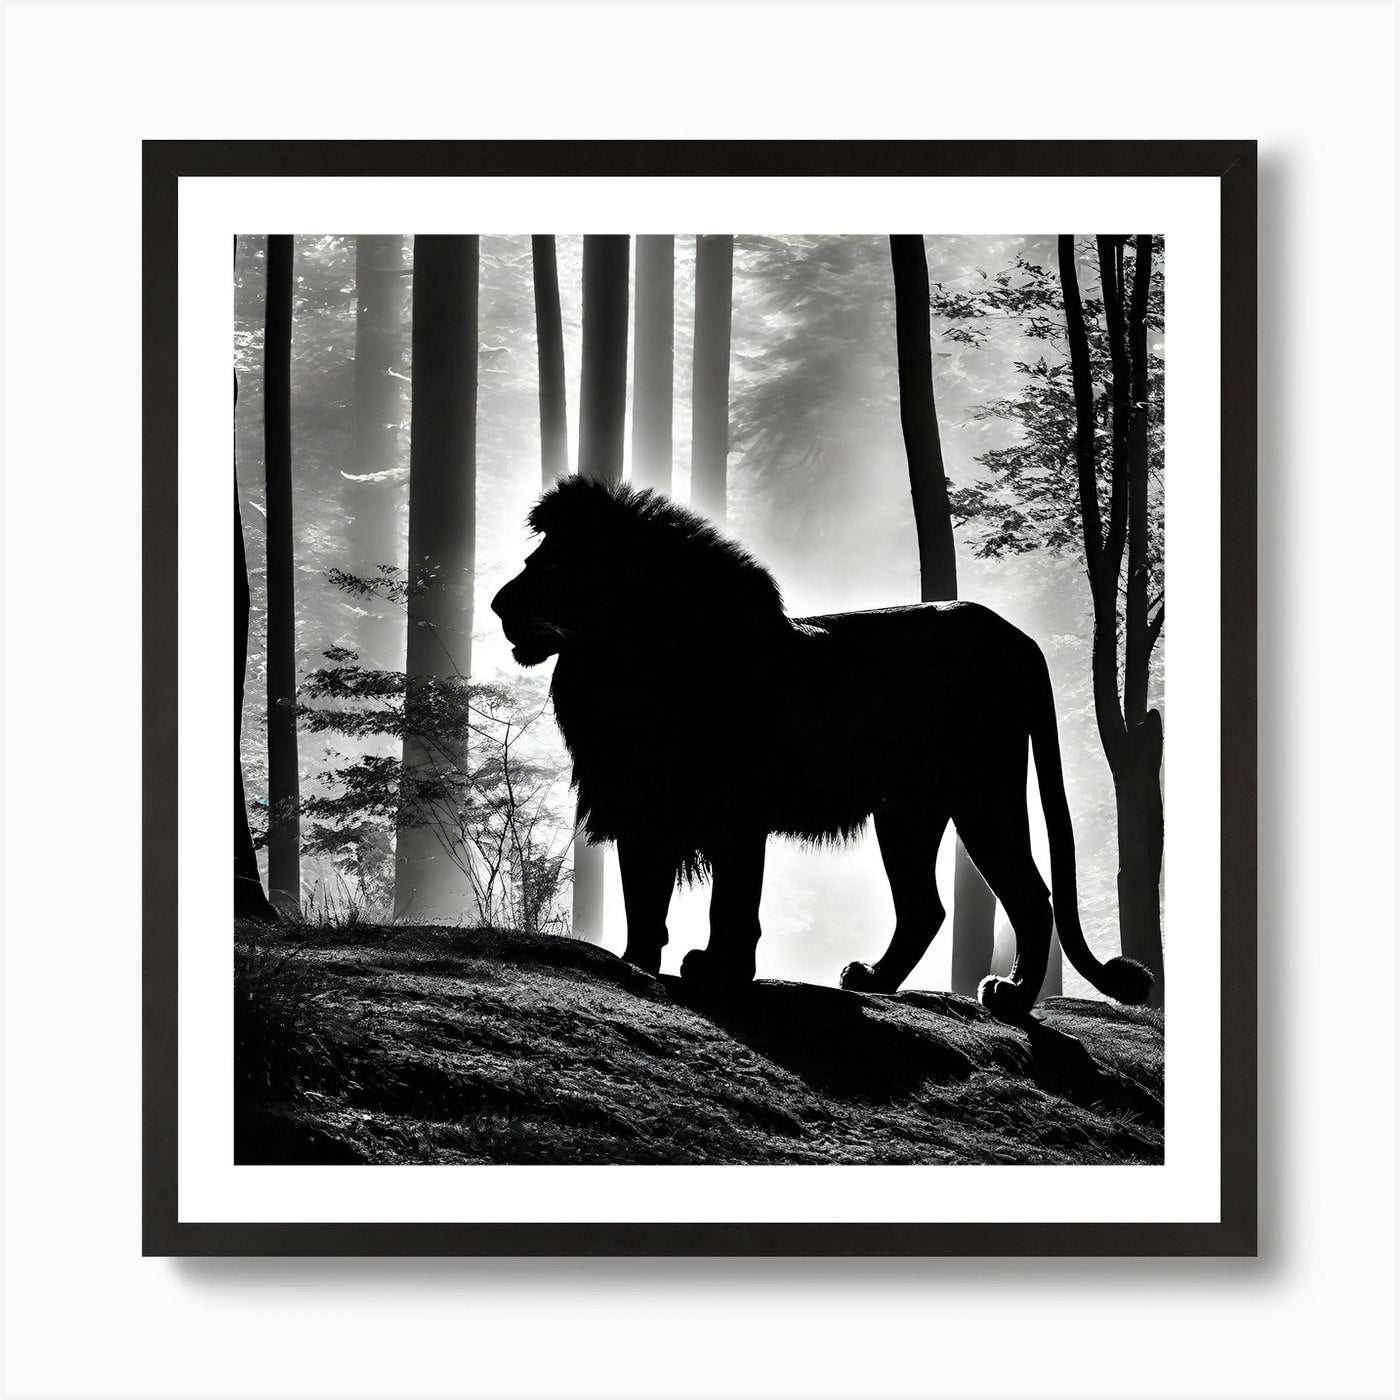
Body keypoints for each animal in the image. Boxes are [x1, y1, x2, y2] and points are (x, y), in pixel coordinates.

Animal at [491, 477, 1153, 1018]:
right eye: (533, 559)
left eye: (554, 565)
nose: (497, 605)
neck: (620, 661)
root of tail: (1017, 638)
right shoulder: (640, 807)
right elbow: (644, 901)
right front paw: (638, 967)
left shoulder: (735, 814)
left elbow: (732, 902)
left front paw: (718, 970)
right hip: (907, 810)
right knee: (925, 907)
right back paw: (874, 980)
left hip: (981, 792)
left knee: (1031, 897)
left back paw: (1011, 999)